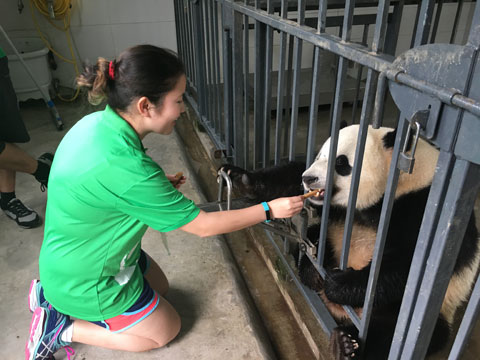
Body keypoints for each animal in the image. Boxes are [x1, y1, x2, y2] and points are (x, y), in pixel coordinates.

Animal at [221, 124, 480, 360]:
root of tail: (341, 313)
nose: (309, 178)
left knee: (395, 333)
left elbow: (411, 267)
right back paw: (313, 273)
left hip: (424, 311)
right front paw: (242, 179)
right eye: (319, 156)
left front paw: (339, 284)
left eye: (341, 163)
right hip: (332, 238)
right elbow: (290, 177)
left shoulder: (424, 207)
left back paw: (345, 344)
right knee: (314, 237)